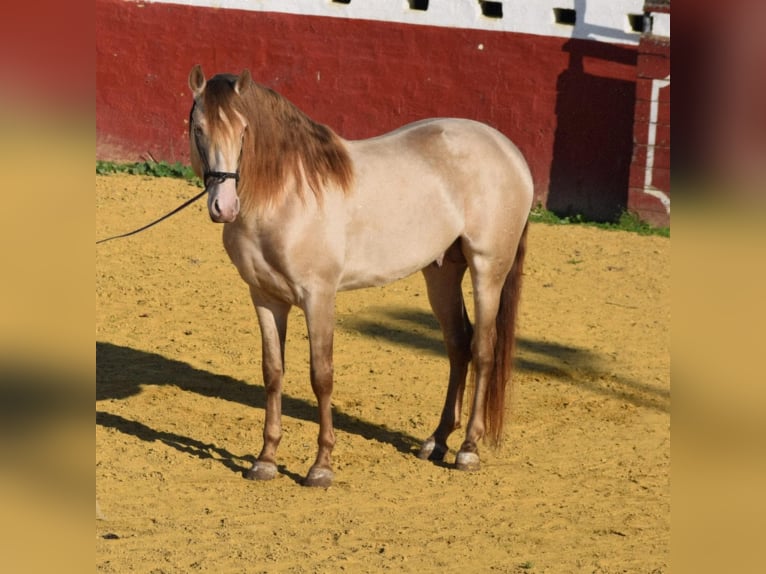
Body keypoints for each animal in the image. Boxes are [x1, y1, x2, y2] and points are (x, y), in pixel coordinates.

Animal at [187, 66, 536, 490]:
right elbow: (273, 373)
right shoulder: (265, 298)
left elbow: (321, 375)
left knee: (484, 349)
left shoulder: (318, 296)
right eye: (198, 128)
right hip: (442, 272)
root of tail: (508, 150)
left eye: (243, 131)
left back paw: (468, 449)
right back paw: (437, 441)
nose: (223, 206)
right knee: (458, 345)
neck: (286, 195)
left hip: (488, 268)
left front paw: (321, 467)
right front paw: (265, 460)